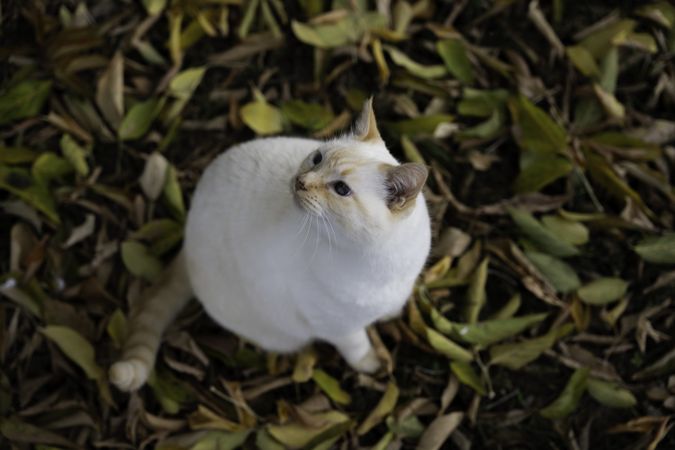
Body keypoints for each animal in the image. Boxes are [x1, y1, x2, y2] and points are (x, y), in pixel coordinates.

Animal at [108, 101, 430, 390]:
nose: (301, 181)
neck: (382, 259)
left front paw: (390, 315)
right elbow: (358, 347)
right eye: (317, 158)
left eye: (341, 189)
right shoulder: (337, 326)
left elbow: (394, 305)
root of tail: (187, 237)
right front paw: (371, 364)